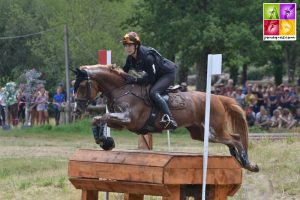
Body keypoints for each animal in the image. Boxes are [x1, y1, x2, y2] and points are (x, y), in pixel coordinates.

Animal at [72, 63, 258, 172]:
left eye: (82, 86)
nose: (76, 110)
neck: (122, 89)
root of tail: (218, 98)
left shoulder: (128, 119)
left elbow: (101, 117)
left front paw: (105, 141)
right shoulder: (119, 122)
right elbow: (99, 119)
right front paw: (105, 142)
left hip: (213, 131)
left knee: (236, 138)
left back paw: (248, 163)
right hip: (201, 133)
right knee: (231, 140)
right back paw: (239, 159)